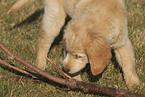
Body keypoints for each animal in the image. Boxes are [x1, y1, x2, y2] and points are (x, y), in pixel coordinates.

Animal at [7, 0, 140, 88]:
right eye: (67, 51)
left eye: (77, 56)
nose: (65, 69)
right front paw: (77, 82)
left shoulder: (122, 42)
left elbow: (128, 64)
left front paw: (134, 83)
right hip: (54, 15)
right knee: (43, 41)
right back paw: (40, 66)